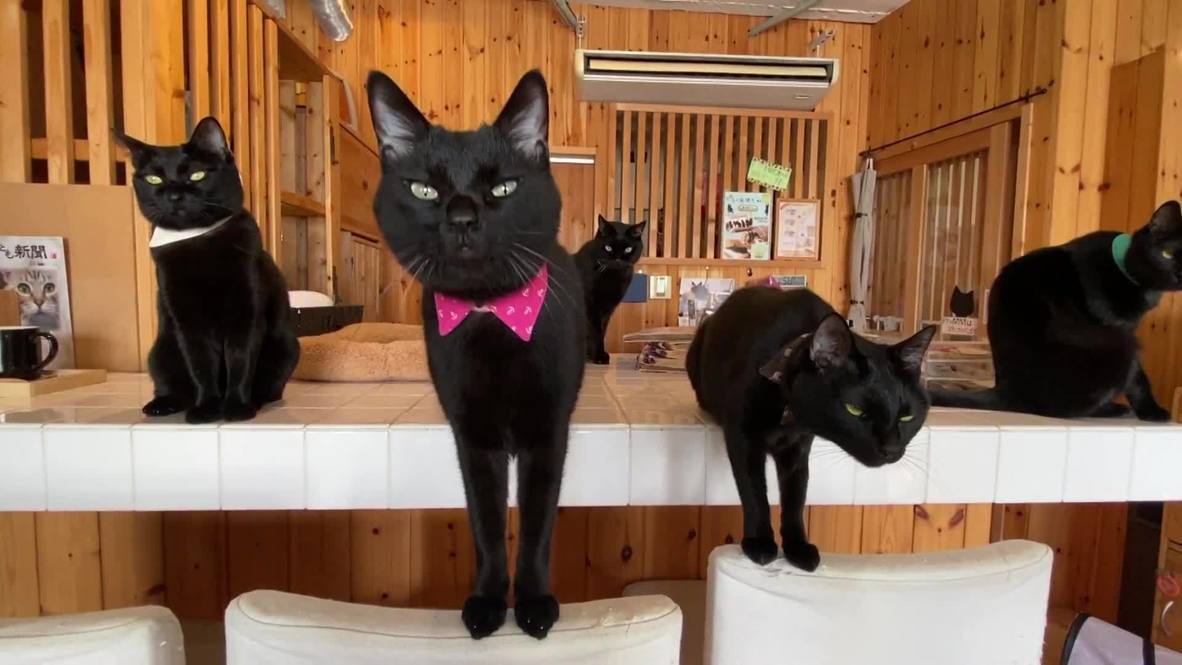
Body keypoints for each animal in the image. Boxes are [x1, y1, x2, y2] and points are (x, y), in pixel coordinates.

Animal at [117, 116, 300, 425]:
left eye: (197, 175)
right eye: (154, 179)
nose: (175, 196)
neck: (199, 244)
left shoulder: (245, 314)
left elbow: (240, 362)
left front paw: (236, 407)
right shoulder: (187, 321)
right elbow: (202, 366)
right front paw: (206, 408)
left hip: (287, 347)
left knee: (271, 388)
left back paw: (256, 401)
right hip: (160, 351)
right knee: (175, 387)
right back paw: (161, 404)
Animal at [574, 216, 647, 363]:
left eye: (628, 249)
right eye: (608, 248)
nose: (617, 260)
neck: (612, 276)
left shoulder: (608, 308)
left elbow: (603, 331)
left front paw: (599, 354)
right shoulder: (591, 305)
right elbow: (596, 332)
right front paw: (598, 356)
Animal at [690, 289, 936, 569]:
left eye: (907, 416)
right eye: (855, 410)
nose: (891, 449)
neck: (790, 417)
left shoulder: (798, 447)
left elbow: (796, 496)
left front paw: (798, 547)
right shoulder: (743, 436)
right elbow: (754, 491)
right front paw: (760, 543)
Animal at [931, 201, 1182, 420]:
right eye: (1168, 254)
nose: (1179, 274)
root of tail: (1006, 390)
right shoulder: (1122, 329)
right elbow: (1138, 379)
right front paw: (1152, 412)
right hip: (1123, 346)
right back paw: (1116, 410)